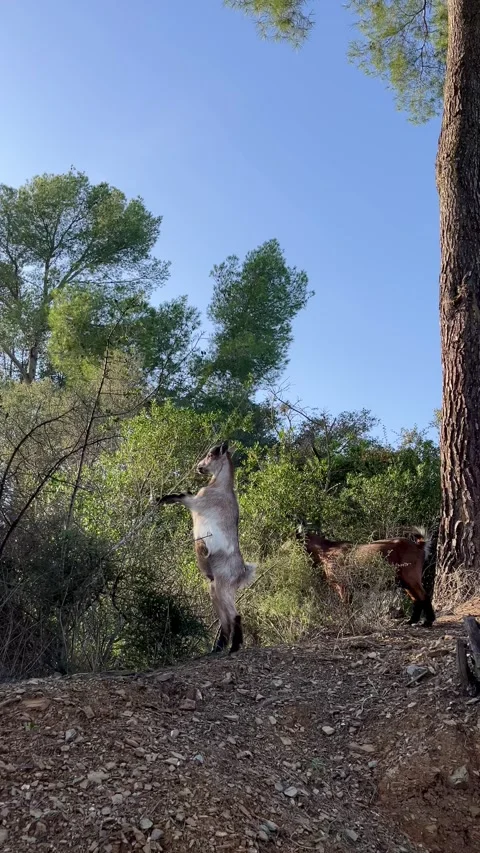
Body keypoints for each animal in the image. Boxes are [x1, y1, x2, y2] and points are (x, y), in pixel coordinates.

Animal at [157, 441, 256, 654]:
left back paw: (234, 647)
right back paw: (217, 648)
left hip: (222, 586)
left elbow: (182, 495)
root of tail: (242, 573)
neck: (220, 487)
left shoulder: (196, 502)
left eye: (212, 454)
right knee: (225, 620)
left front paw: (161, 499)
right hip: (214, 588)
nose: (199, 467)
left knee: (235, 616)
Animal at [296, 524, 435, 627]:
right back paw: (411, 621)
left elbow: (346, 605)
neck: (325, 551)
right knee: (416, 598)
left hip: (410, 576)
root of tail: (418, 545)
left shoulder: (342, 585)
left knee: (423, 595)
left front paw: (347, 622)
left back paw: (428, 621)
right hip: (404, 581)